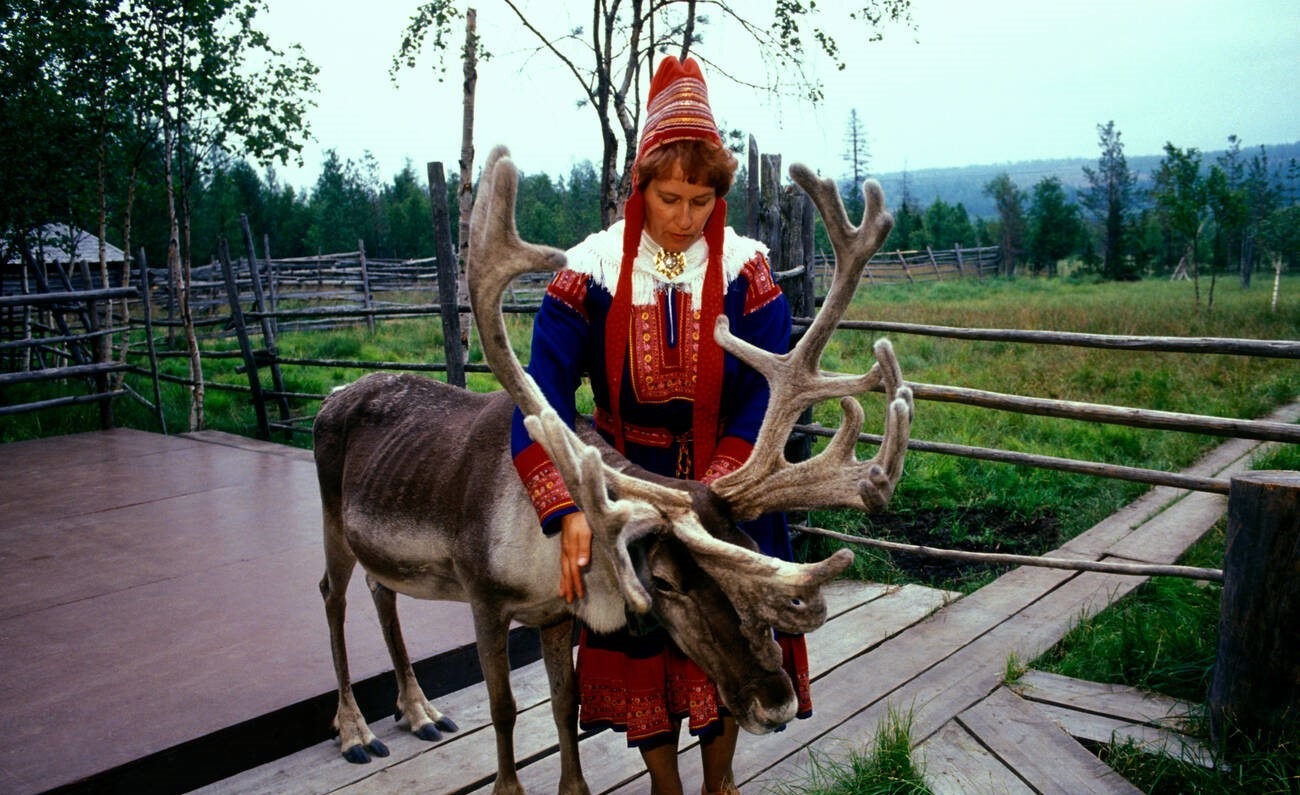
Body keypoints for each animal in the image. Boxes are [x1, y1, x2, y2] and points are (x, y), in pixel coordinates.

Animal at [311, 145, 913, 795]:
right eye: (665, 581)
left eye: (751, 547)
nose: (776, 701)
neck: (546, 562)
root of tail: (335, 393)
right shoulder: (483, 596)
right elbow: (504, 709)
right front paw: (509, 787)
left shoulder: (553, 615)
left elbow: (565, 705)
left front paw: (573, 787)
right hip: (331, 517)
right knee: (332, 595)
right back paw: (354, 729)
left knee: (381, 590)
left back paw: (417, 709)